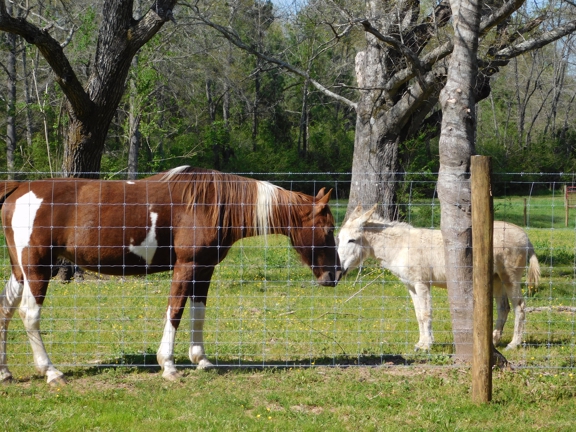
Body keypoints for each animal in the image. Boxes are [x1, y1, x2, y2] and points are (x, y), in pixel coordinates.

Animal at [0, 166, 342, 384]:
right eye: (327, 229)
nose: (334, 275)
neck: (210, 204)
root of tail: (18, 188)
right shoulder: (186, 266)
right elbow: (175, 311)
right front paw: (168, 365)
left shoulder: (204, 269)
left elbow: (197, 313)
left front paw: (201, 360)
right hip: (37, 269)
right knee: (29, 316)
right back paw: (51, 371)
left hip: (20, 271)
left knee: (5, 311)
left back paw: (5, 373)